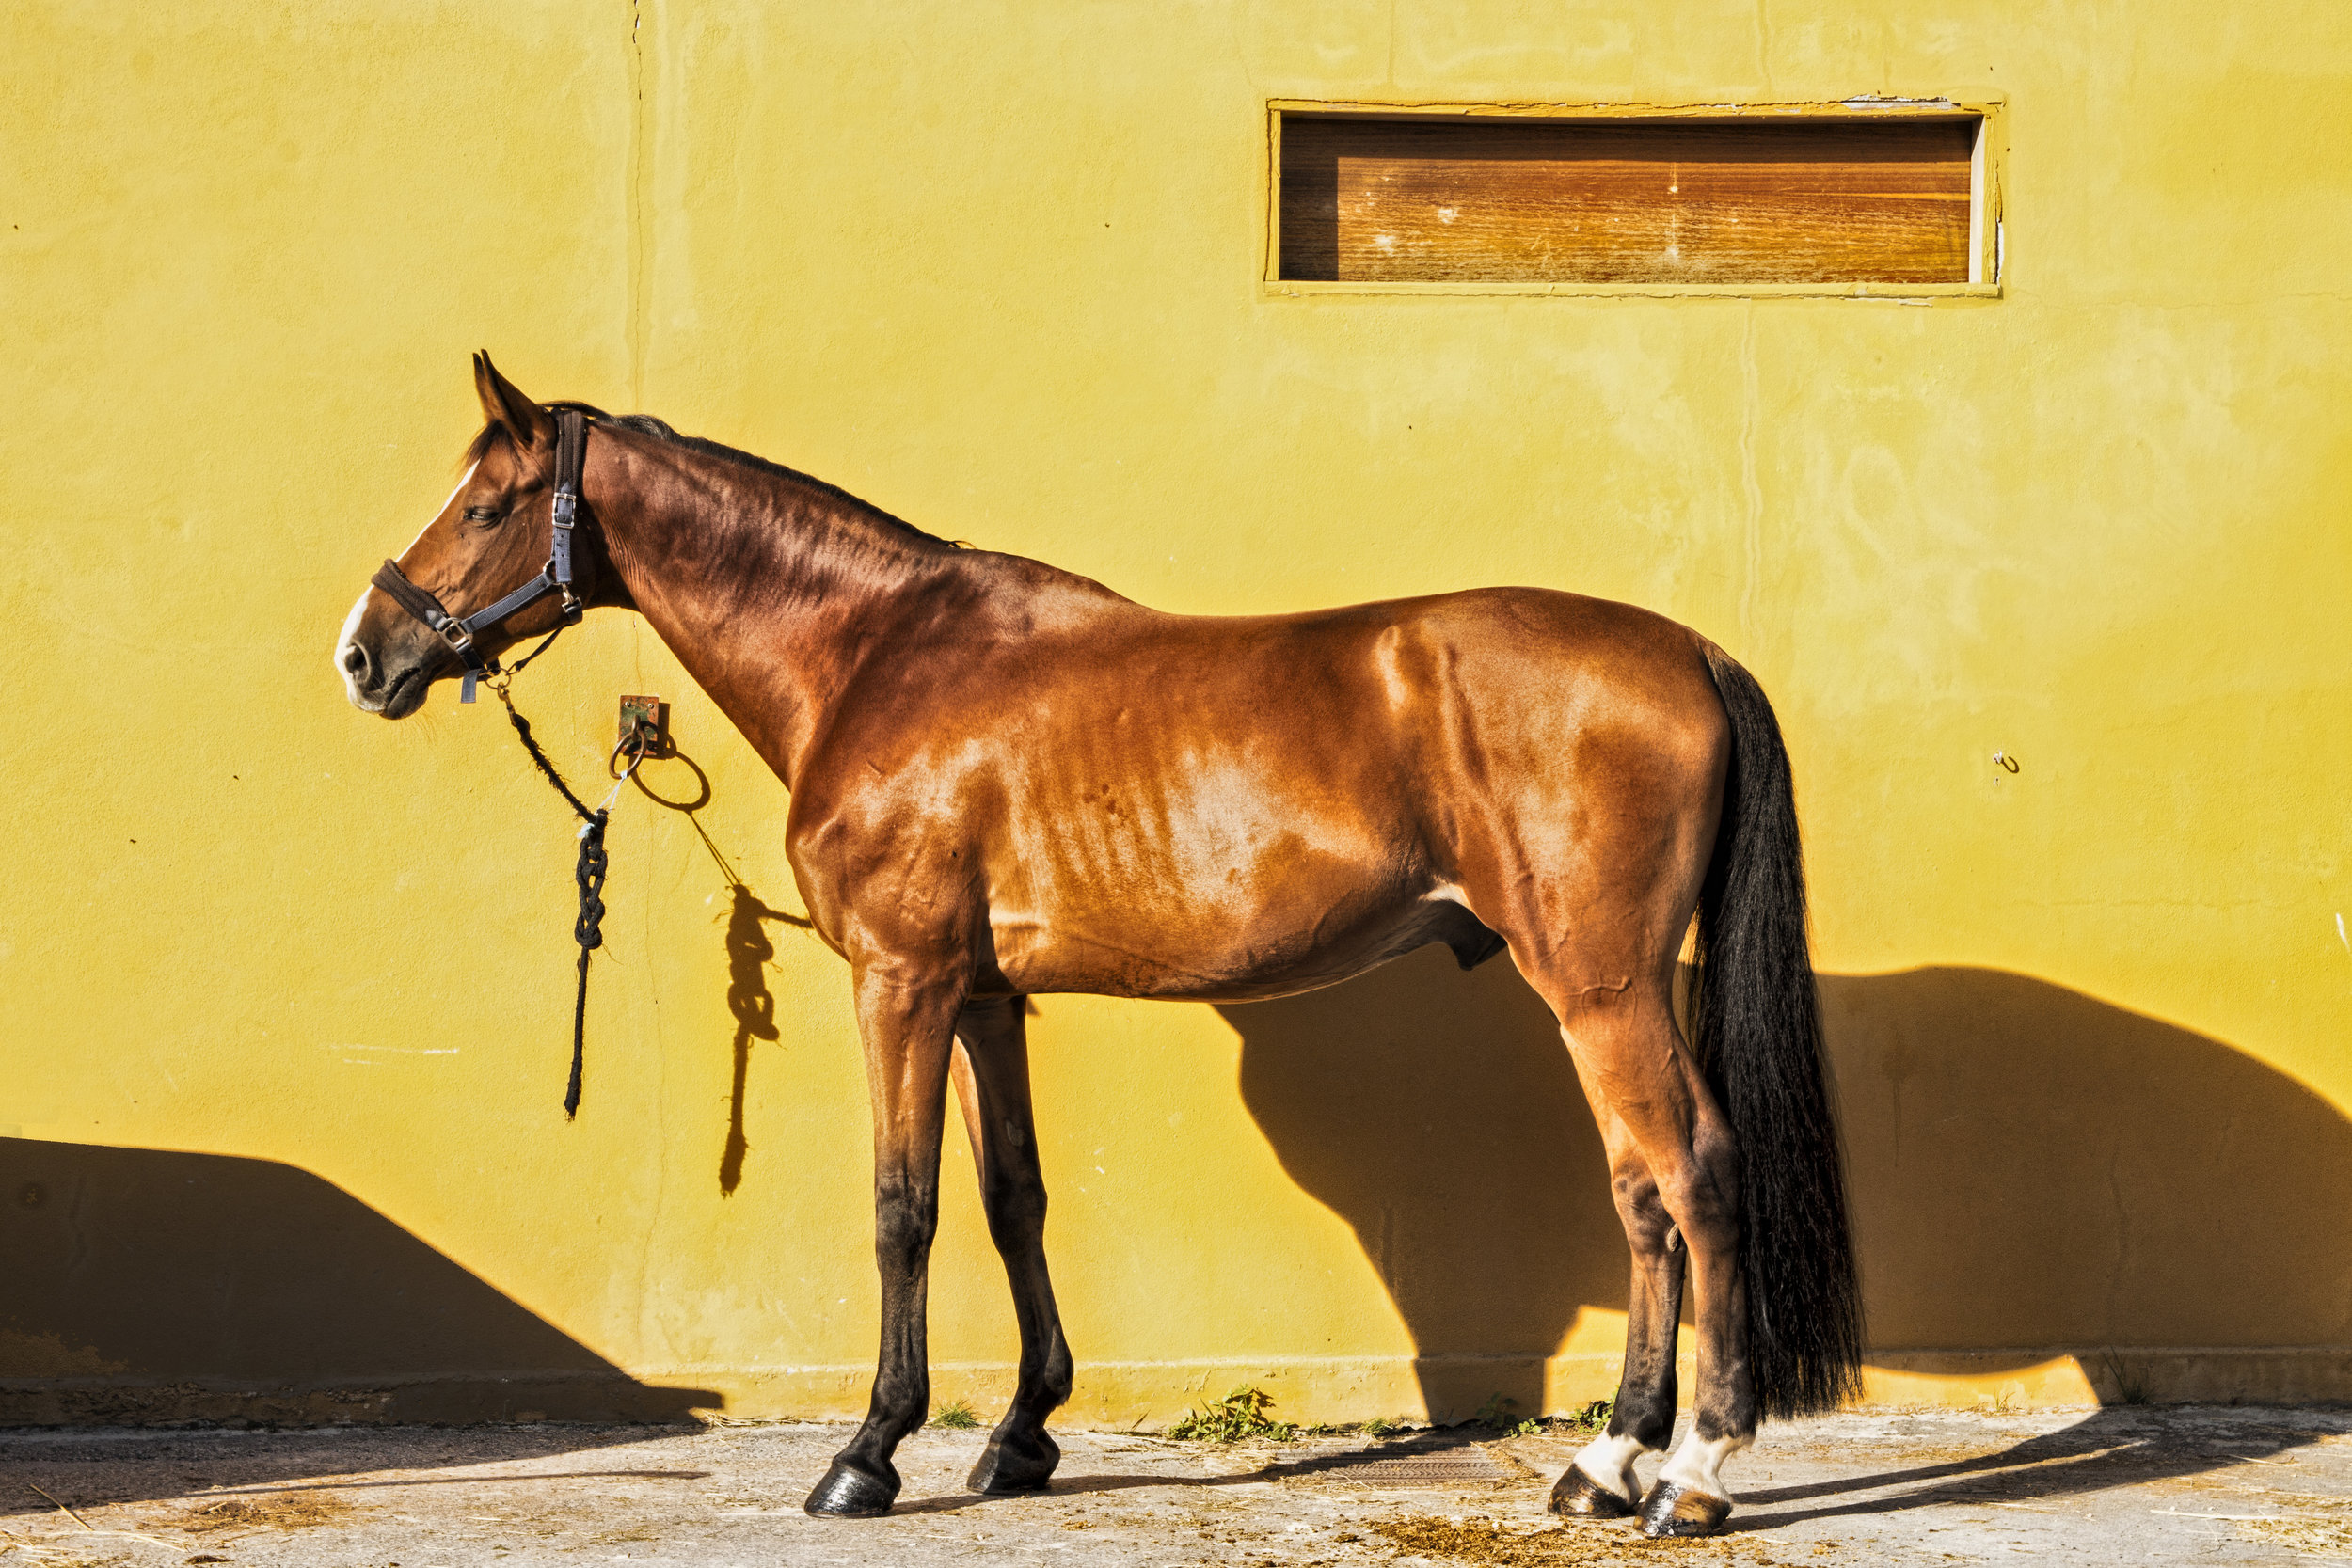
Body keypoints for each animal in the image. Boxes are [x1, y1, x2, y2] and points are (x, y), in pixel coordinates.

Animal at [341, 352, 1863, 1532]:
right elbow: (1012, 1195)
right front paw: (1022, 1434)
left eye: (486, 503)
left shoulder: (900, 982)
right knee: (1642, 1195)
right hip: (1604, 994)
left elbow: (902, 1206)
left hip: (1601, 988)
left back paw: (1694, 1475)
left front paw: (868, 1453)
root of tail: (1688, 652)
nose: (368, 653)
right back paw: (1605, 1462)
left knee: (1694, 1171)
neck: (874, 657)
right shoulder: (984, 998)